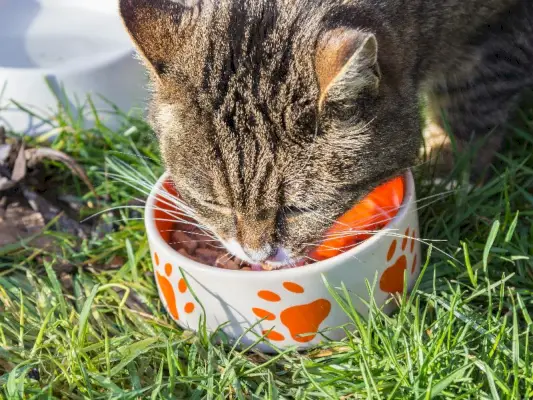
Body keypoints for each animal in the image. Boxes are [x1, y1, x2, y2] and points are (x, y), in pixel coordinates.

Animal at [118, 1, 528, 268]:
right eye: (214, 203)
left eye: (300, 209)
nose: (258, 256)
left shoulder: (500, 29)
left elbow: (472, 101)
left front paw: (452, 168)